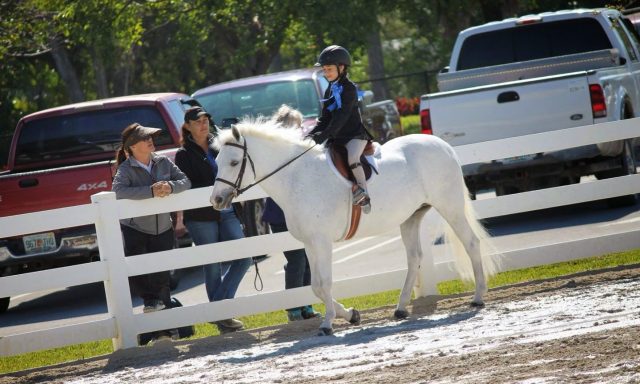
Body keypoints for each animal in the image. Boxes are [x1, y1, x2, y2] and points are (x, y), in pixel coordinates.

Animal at [210, 118, 500, 334]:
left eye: (234, 163)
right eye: (218, 162)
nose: (217, 200)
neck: (297, 177)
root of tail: (443, 145)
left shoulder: (322, 242)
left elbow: (325, 283)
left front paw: (328, 324)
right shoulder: (310, 244)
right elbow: (315, 286)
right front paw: (350, 315)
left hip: (450, 207)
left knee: (471, 243)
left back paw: (478, 297)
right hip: (411, 217)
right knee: (415, 257)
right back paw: (401, 308)